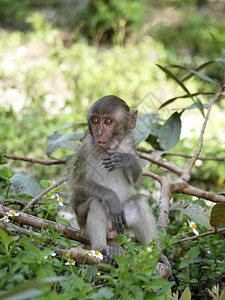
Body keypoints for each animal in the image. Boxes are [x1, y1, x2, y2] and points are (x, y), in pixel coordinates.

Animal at [68, 95, 162, 266]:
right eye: (95, 120)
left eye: (108, 122)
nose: (99, 133)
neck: (110, 148)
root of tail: (111, 231)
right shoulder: (86, 149)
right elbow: (78, 186)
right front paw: (111, 197)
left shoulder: (130, 140)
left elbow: (134, 178)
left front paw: (126, 159)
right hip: (85, 225)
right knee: (96, 202)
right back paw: (102, 248)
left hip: (123, 223)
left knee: (139, 203)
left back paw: (154, 255)